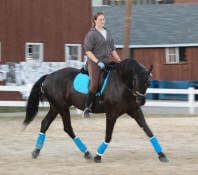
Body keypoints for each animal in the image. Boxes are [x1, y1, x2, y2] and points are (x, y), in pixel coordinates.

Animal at [23, 57, 169, 163]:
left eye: (148, 82)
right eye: (134, 80)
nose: (141, 101)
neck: (121, 83)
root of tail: (48, 76)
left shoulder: (135, 111)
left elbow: (148, 131)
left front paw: (161, 155)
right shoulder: (112, 114)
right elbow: (108, 136)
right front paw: (98, 156)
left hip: (55, 107)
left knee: (45, 124)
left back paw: (36, 151)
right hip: (62, 107)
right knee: (67, 128)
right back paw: (87, 153)